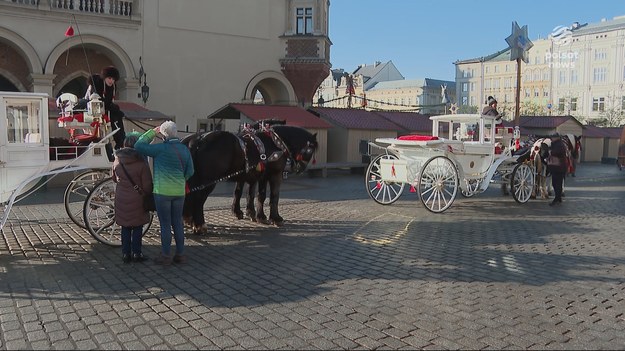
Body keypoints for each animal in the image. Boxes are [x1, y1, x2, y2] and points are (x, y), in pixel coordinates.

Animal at [180, 124, 316, 234]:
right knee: (199, 198)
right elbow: (273, 196)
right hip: (208, 179)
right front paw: (276, 218)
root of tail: (198, 140)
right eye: (311, 150)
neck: (275, 143)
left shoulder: (257, 176)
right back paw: (199, 225)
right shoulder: (274, 175)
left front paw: (257, 215)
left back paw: (189, 220)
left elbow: (254, 195)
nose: (300, 169)